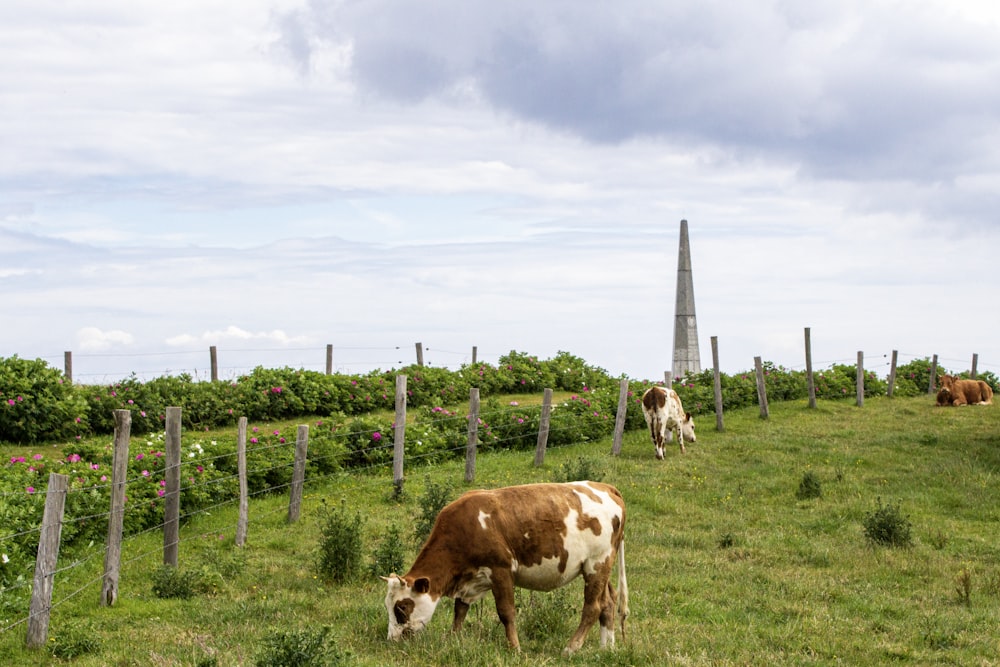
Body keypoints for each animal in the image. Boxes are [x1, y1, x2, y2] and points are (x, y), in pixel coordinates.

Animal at [380, 482, 624, 656]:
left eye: (401, 608)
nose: (392, 640)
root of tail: (605, 487)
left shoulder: (501, 570)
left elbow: (506, 612)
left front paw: (514, 648)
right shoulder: (470, 581)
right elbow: (459, 611)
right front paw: (452, 639)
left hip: (597, 563)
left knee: (592, 607)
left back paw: (571, 648)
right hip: (600, 567)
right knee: (608, 602)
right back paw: (607, 648)